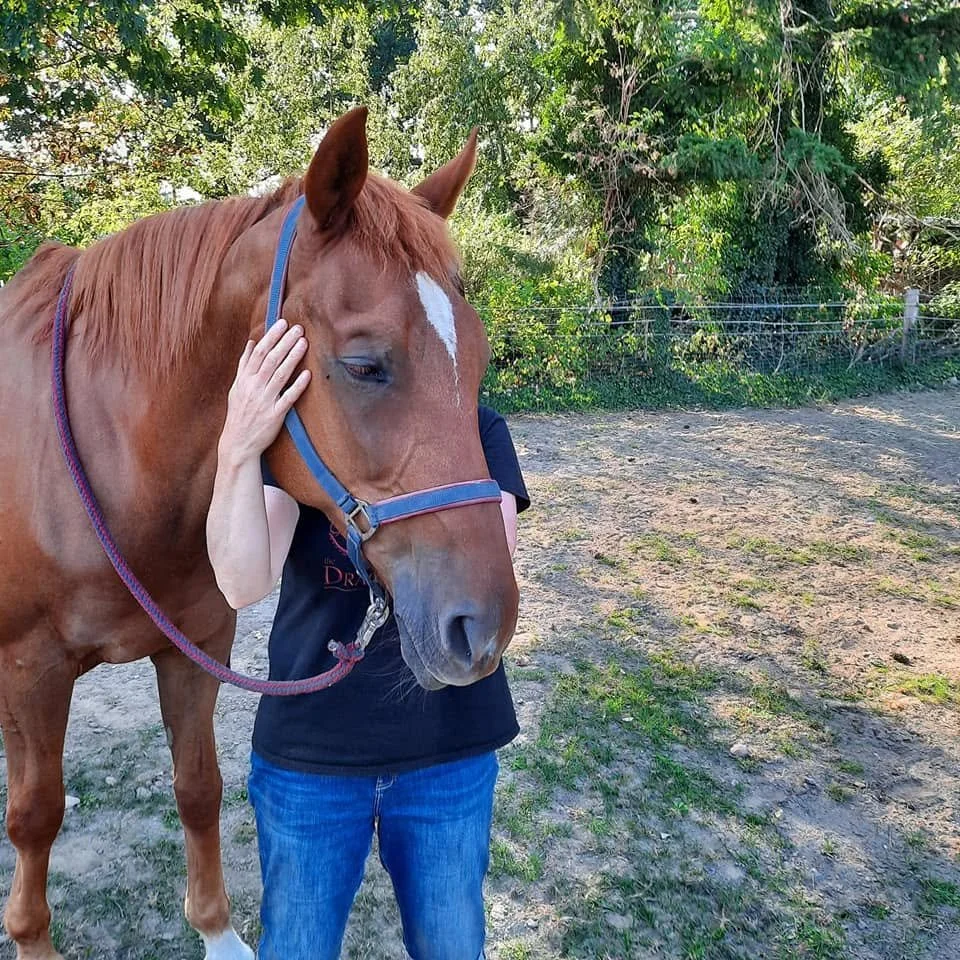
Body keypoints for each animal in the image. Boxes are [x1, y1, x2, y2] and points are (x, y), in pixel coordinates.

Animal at [0, 106, 520, 960]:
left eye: (475, 361)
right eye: (366, 365)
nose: (481, 630)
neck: (117, 465)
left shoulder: (196, 645)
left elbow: (199, 787)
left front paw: (217, 933)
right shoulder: (32, 670)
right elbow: (36, 817)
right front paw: (32, 940)